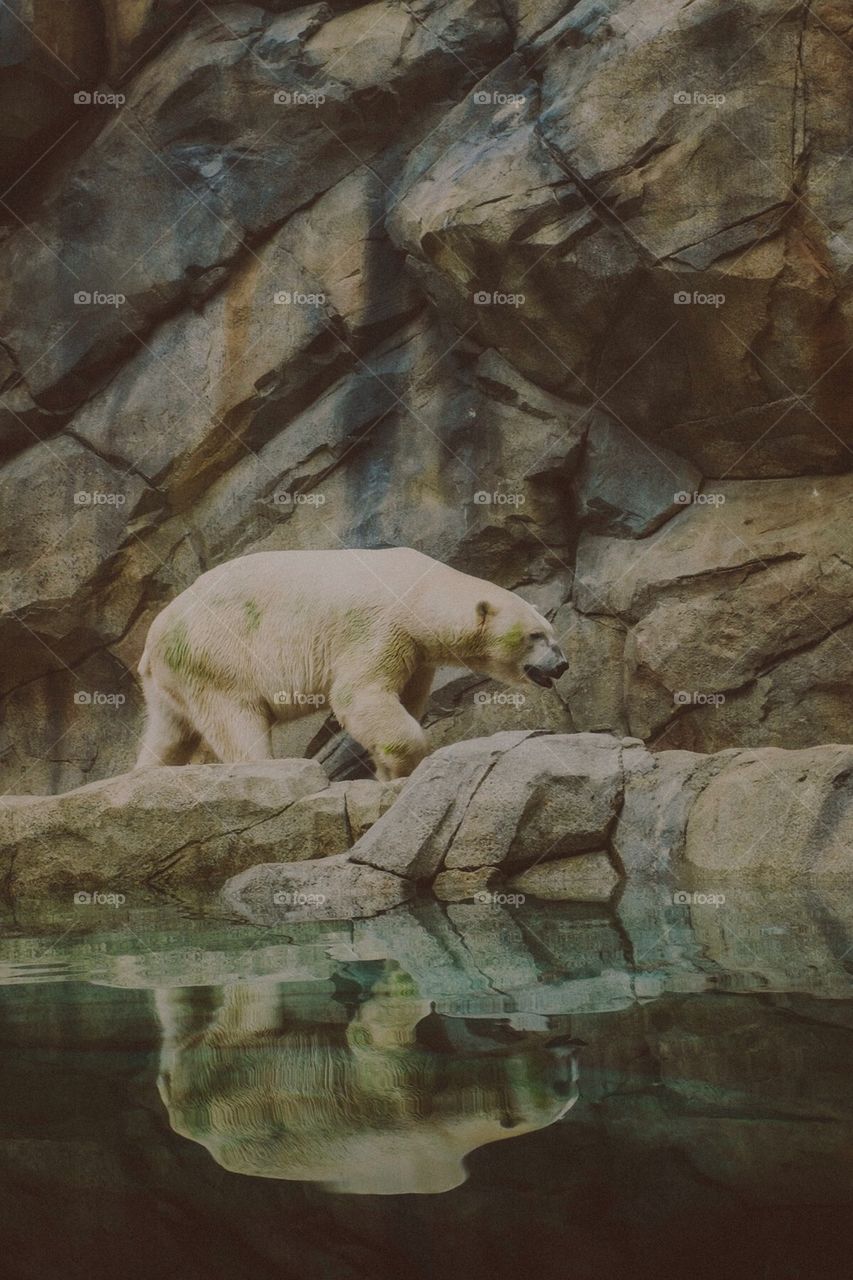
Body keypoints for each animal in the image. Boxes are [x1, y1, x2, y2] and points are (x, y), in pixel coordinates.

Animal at [135, 547, 568, 780]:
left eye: (552, 631)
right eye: (535, 636)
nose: (561, 665)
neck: (418, 588)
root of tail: (151, 642)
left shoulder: (416, 651)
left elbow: (404, 696)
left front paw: (384, 769)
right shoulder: (379, 626)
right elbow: (358, 695)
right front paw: (404, 767)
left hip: (170, 679)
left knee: (169, 730)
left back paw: (145, 773)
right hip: (216, 653)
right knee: (234, 717)